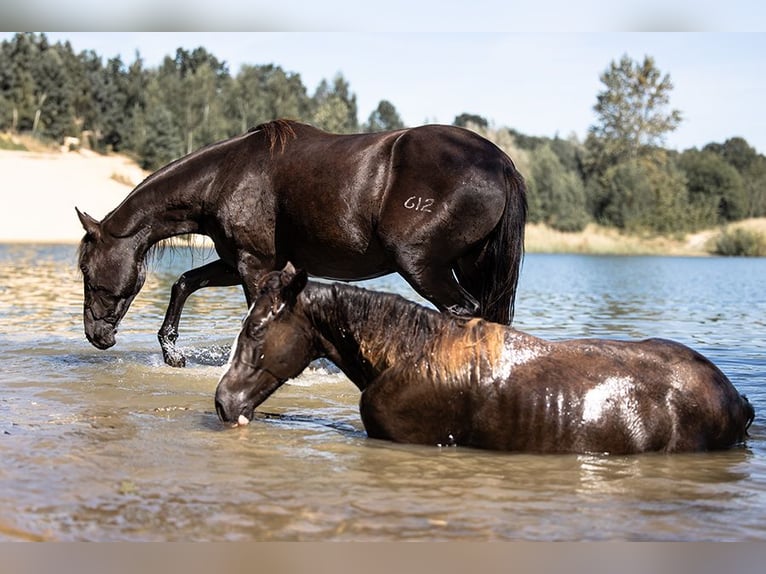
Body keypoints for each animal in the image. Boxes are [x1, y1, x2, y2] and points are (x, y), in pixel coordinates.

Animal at [76, 119, 528, 366]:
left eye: (86, 270)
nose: (96, 336)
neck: (225, 175)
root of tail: (500, 162)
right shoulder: (242, 262)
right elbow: (184, 283)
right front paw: (172, 354)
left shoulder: (253, 265)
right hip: (470, 265)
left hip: (423, 267)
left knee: (464, 313)